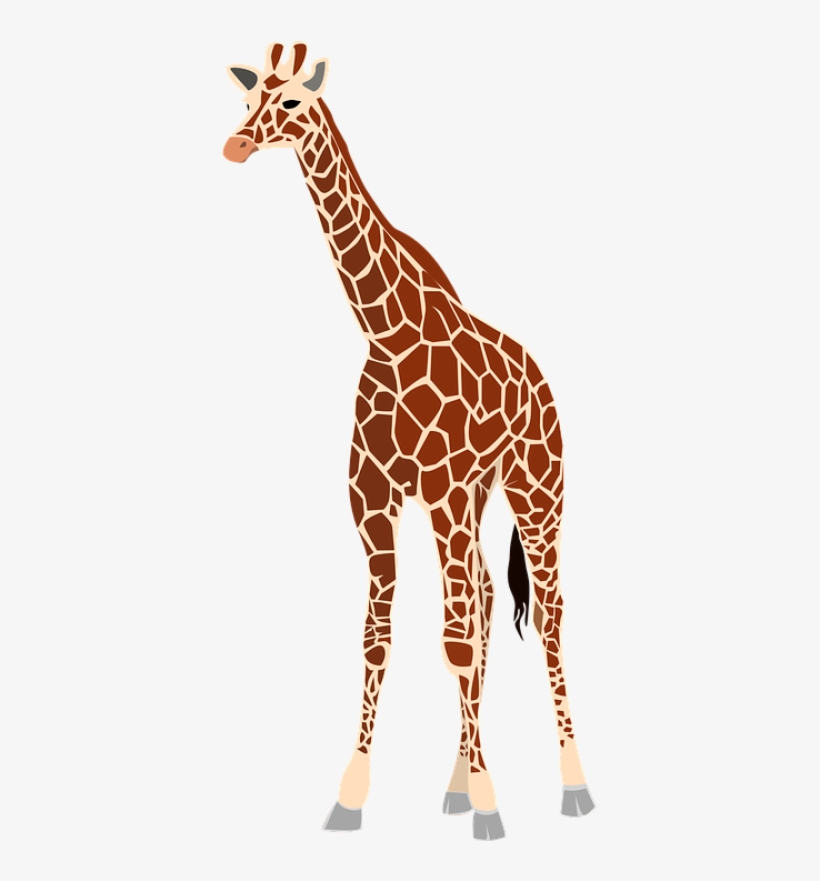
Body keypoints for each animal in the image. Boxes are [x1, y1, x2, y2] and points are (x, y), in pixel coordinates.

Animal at [222, 42, 595, 840]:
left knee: (544, 613)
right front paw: (352, 796)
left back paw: (572, 783)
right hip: (474, 499)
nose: (235, 145)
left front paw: (490, 805)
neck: (387, 335)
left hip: (535, 489)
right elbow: (379, 635)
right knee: (483, 596)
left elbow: (454, 639)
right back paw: (456, 782)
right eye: (247, 98)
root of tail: (543, 380)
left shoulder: (444, 489)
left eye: (292, 102)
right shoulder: (373, 498)